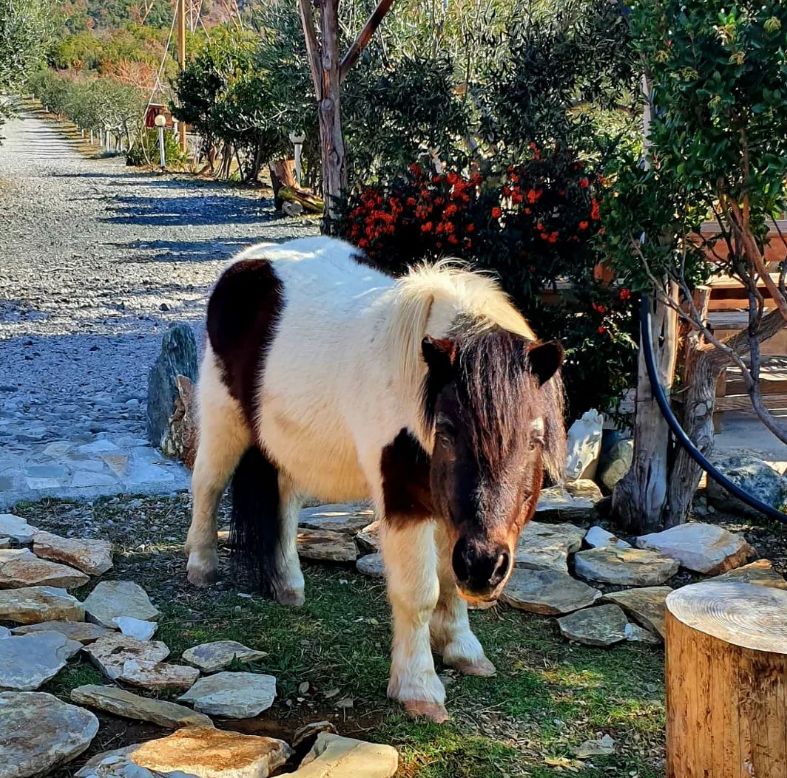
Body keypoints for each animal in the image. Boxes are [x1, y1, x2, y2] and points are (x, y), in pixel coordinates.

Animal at [185, 235, 568, 720]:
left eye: (535, 438)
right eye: (446, 430)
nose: (485, 567)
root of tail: (249, 261)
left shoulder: (449, 513)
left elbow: (450, 581)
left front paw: (462, 649)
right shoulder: (404, 501)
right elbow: (420, 592)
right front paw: (418, 688)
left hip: (288, 443)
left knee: (285, 501)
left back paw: (289, 586)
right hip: (223, 419)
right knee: (208, 484)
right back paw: (201, 566)